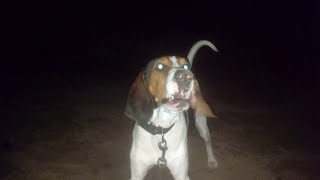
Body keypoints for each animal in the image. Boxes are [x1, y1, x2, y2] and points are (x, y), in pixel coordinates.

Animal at [124, 40, 219, 179]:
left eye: (186, 66)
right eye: (160, 66)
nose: (187, 76)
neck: (161, 129)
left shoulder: (182, 175)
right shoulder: (137, 174)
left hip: (202, 124)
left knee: (207, 141)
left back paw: (212, 160)